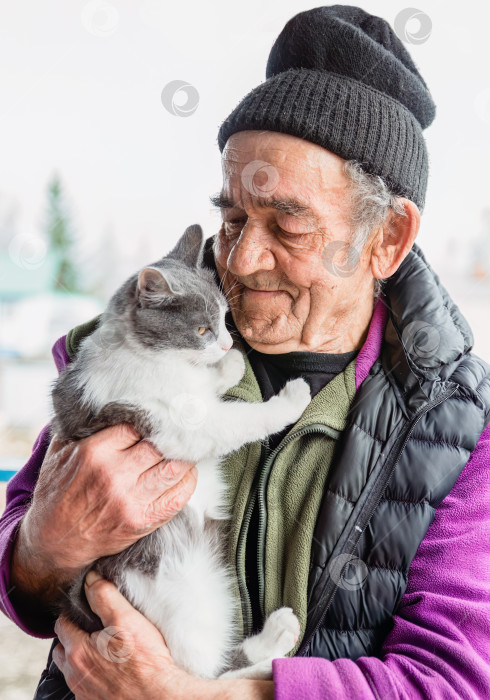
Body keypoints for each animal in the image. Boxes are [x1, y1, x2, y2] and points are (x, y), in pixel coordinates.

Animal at [49, 223, 310, 680]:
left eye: (223, 319)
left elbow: (207, 383)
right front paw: (287, 400)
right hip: (186, 591)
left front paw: (228, 367)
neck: (151, 357)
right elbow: (238, 420)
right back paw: (276, 646)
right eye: (201, 330)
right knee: (205, 674)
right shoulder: (174, 424)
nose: (224, 344)